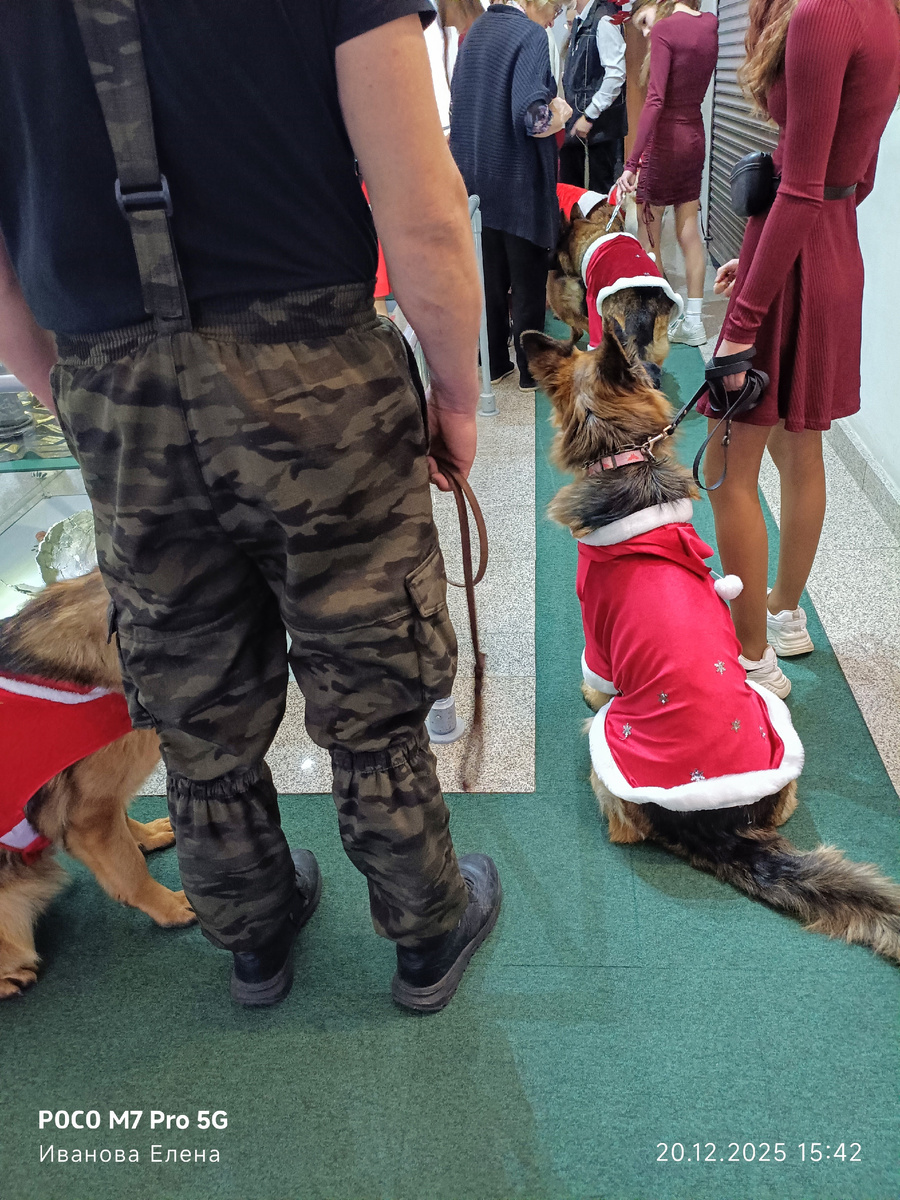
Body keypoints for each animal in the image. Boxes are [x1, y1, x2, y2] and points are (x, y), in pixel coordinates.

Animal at [0, 570, 194, 998]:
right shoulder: (87, 815)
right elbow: (130, 869)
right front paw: (170, 908)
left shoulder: (101, 804)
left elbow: (125, 824)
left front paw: (146, 835)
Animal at [522, 323, 900, 965]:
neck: (620, 454)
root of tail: (719, 824)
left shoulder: (597, 635)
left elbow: (593, 676)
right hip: (776, 745)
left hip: (609, 749)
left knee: (625, 822)